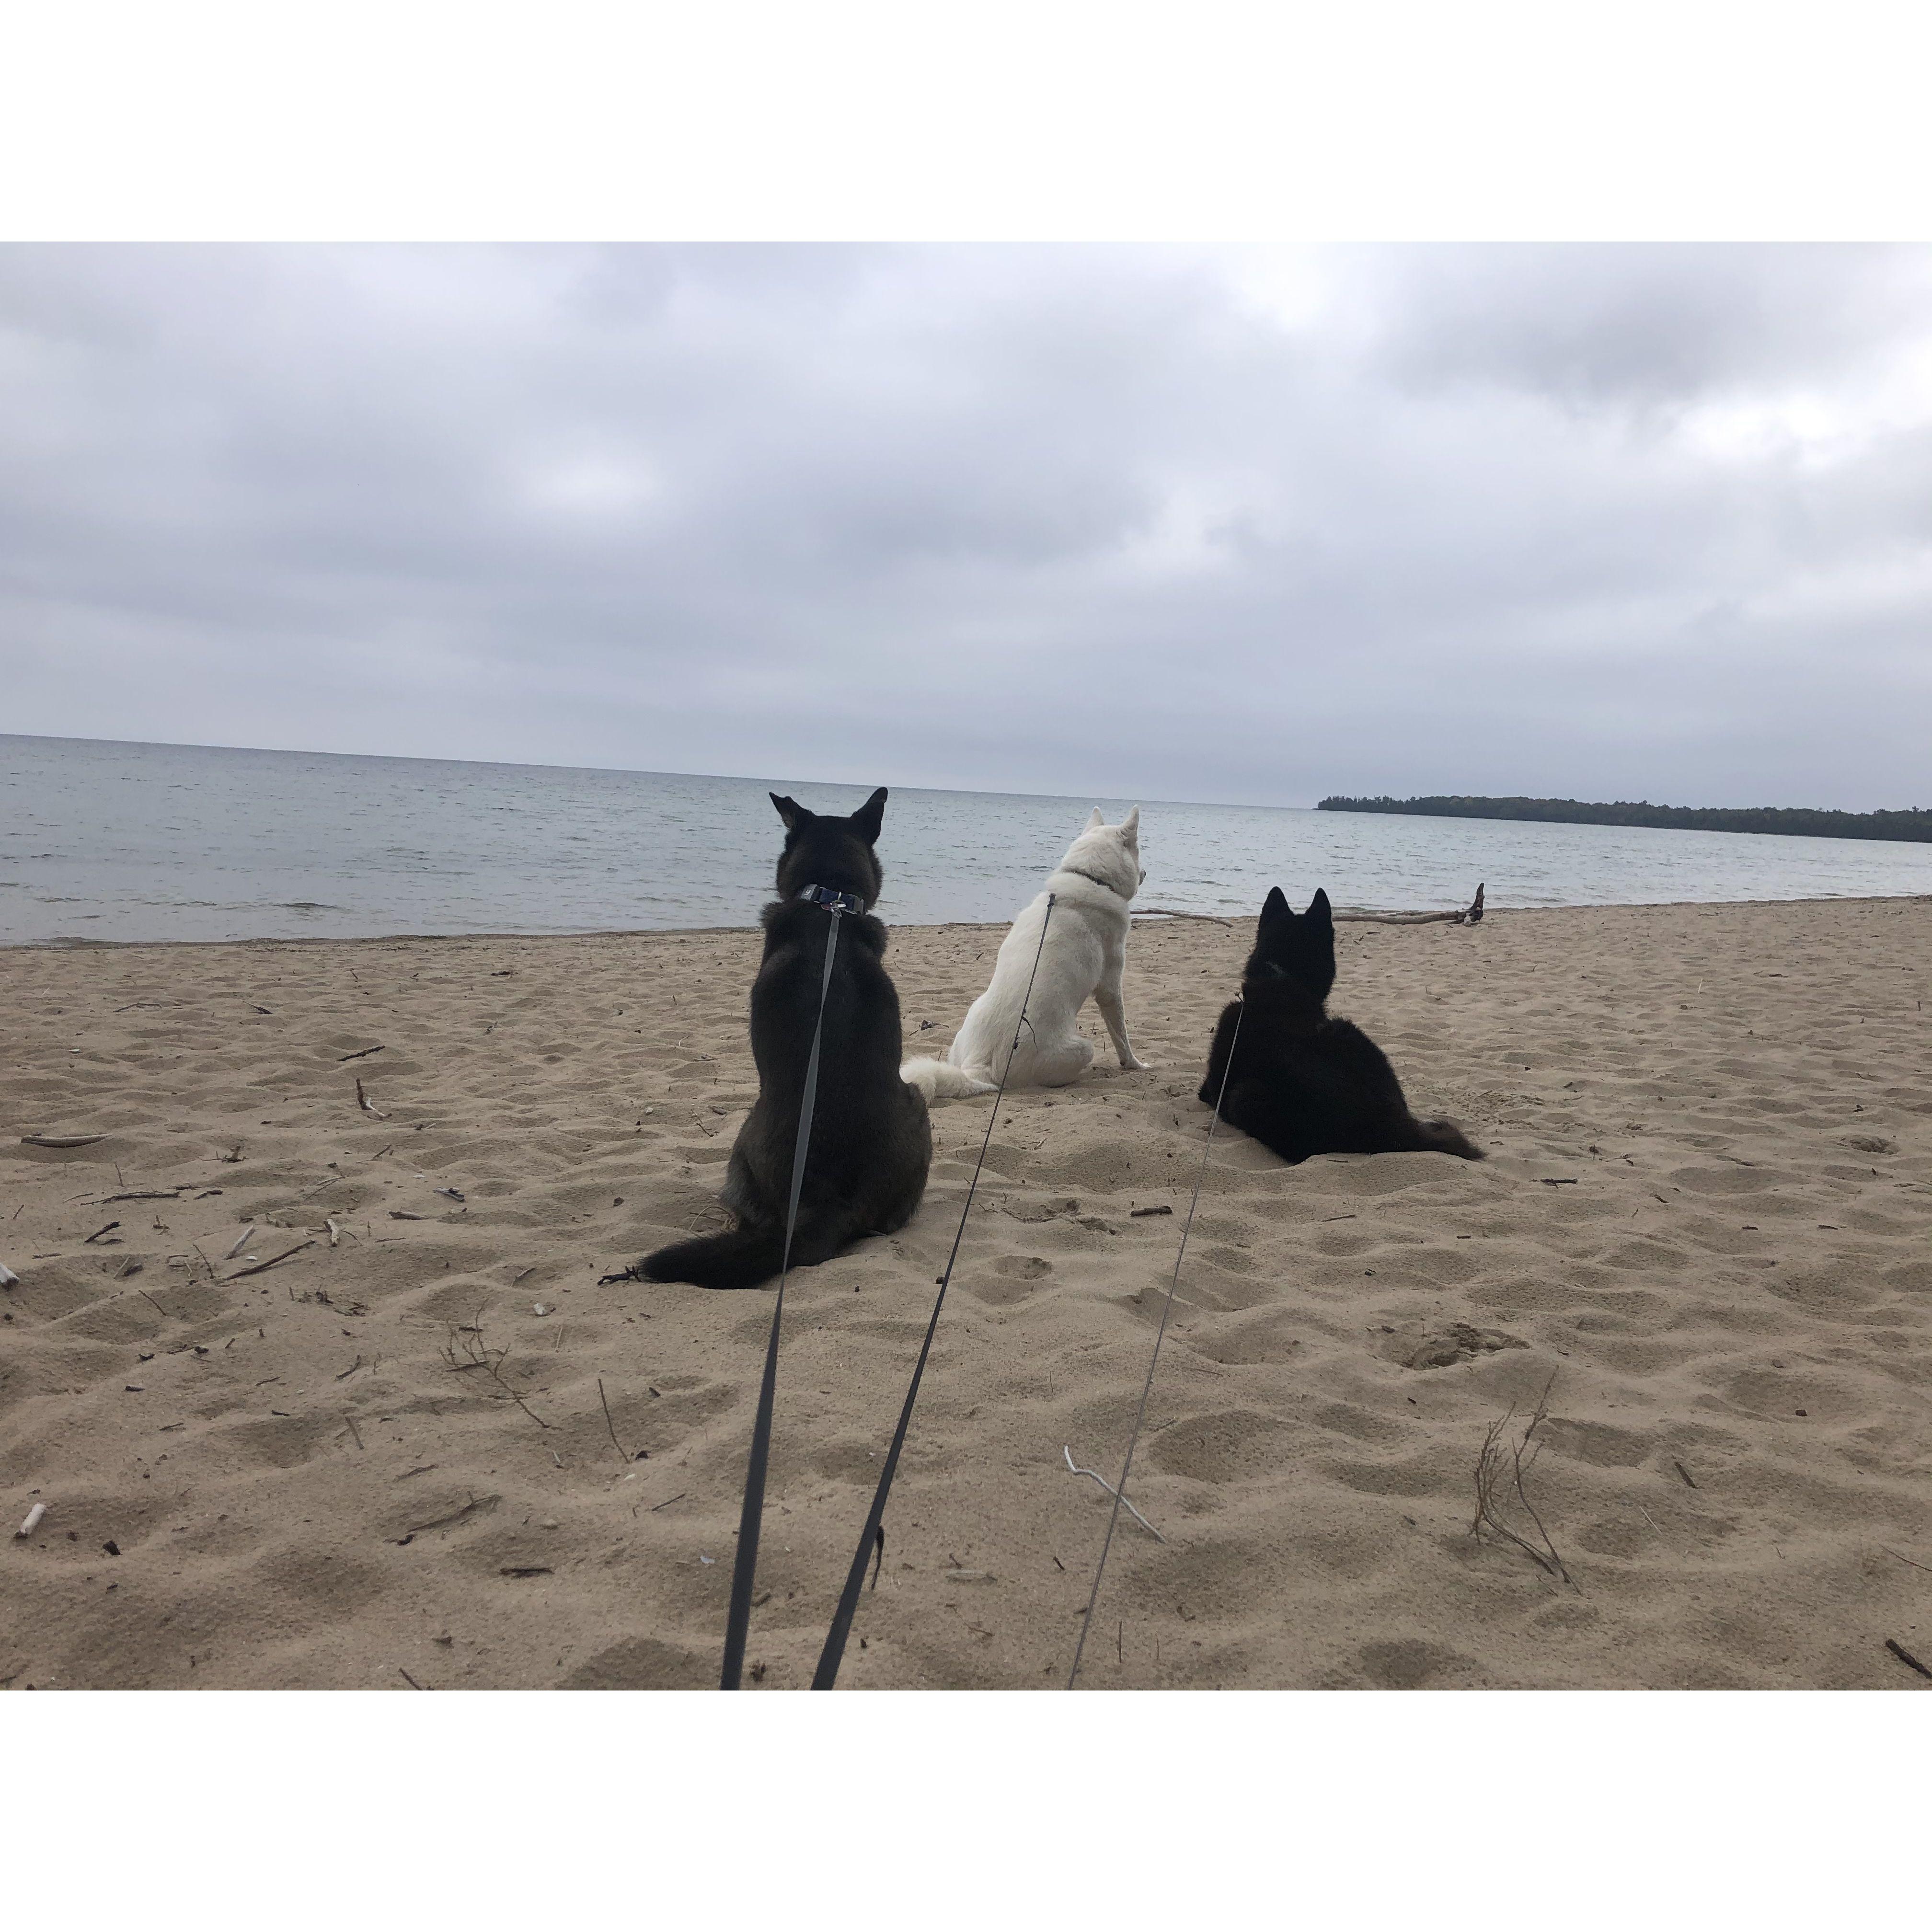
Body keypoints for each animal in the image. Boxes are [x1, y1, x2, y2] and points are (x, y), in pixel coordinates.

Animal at [900, 804, 1151, 1105]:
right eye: (1138, 851)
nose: (1146, 873)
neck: (1092, 878)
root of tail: (982, 1070)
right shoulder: (1110, 988)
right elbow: (1122, 1036)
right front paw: (1136, 1065)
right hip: (1084, 1049)